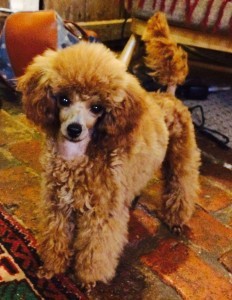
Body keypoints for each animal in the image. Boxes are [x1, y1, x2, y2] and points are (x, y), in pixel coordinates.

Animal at [17, 41, 200, 286]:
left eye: (97, 108)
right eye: (64, 99)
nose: (74, 129)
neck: (77, 159)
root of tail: (169, 95)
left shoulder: (101, 214)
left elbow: (94, 251)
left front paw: (85, 280)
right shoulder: (57, 205)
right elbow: (55, 239)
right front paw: (52, 269)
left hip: (182, 158)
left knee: (182, 187)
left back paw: (176, 221)